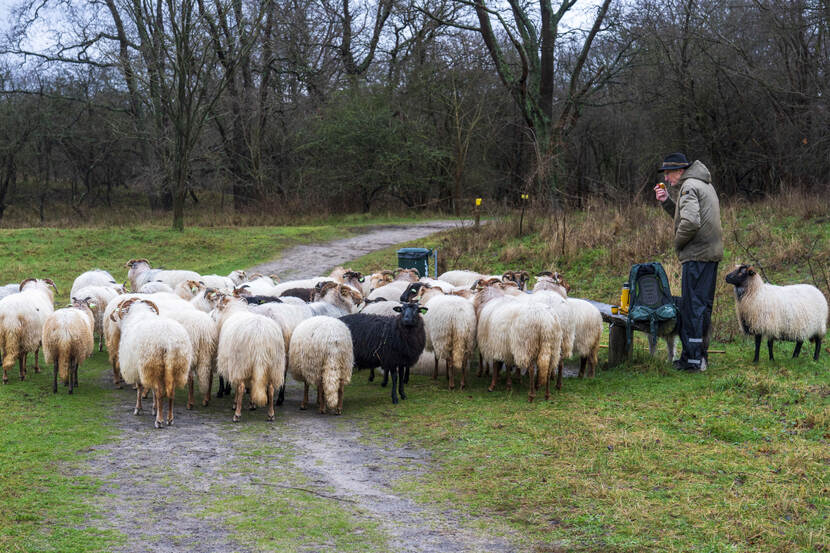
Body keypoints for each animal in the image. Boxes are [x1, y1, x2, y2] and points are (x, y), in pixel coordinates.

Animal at [113, 298, 193, 426]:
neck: (139, 314)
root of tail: (169, 341)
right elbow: (152, 391)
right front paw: (154, 409)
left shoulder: (139, 368)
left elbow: (140, 388)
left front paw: (138, 409)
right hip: (177, 366)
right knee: (171, 393)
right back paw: (170, 419)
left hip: (155, 365)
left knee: (160, 392)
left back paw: (159, 421)